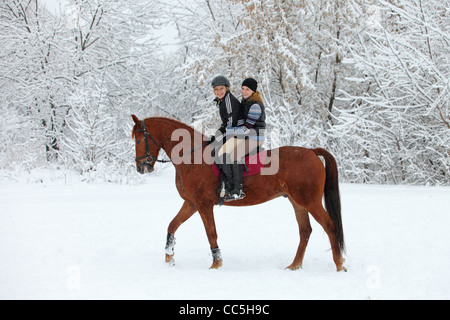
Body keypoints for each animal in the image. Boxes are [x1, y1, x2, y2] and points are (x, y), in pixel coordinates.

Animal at [132, 116, 346, 272]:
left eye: (140, 139)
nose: (141, 167)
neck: (193, 156)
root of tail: (312, 152)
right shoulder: (191, 204)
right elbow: (172, 226)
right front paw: (169, 258)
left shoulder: (203, 205)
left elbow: (211, 233)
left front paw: (216, 264)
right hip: (298, 203)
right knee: (305, 231)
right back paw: (295, 266)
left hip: (310, 201)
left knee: (330, 227)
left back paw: (339, 265)